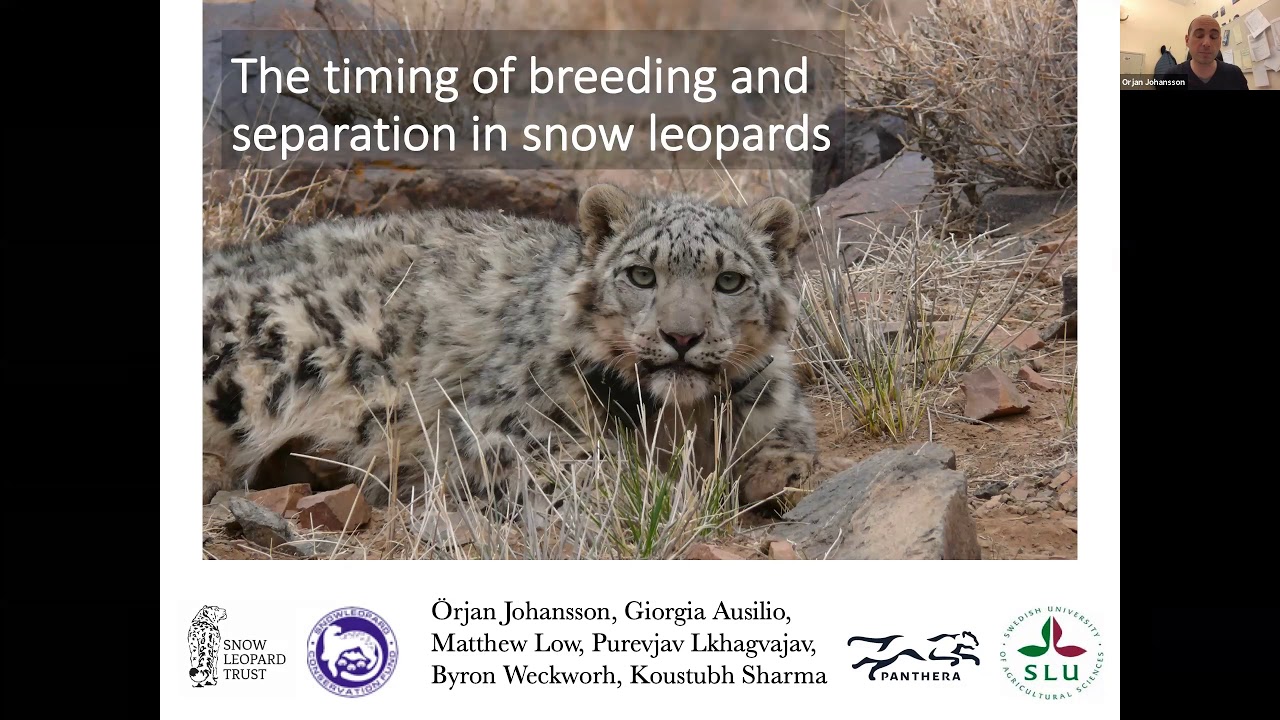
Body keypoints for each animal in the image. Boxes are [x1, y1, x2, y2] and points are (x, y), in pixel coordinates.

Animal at [202, 183, 819, 517]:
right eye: (642, 275)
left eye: (730, 281)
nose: (682, 336)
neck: (677, 420)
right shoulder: (500, 426)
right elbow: (581, 463)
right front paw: (658, 490)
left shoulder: (774, 405)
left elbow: (792, 442)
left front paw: (784, 477)